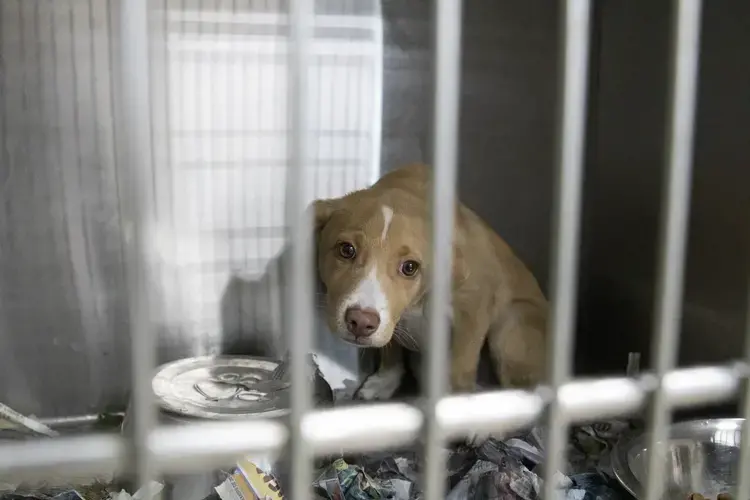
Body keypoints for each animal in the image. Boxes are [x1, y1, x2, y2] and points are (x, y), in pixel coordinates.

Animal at [308, 162, 548, 400]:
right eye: (346, 250)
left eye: (410, 267)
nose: (360, 322)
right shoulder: (392, 321)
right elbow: (391, 350)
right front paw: (384, 382)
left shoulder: (474, 308)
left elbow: (463, 363)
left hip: (510, 332)